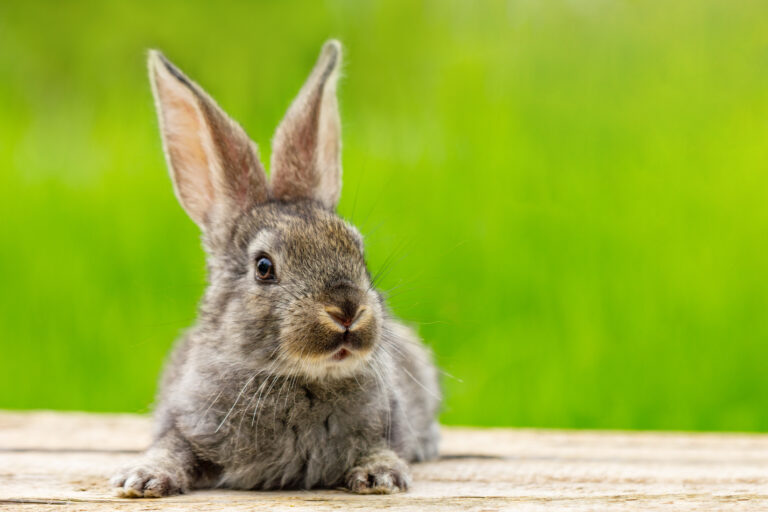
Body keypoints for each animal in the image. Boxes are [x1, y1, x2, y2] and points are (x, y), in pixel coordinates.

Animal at [110, 42, 440, 498]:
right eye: (264, 267)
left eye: (358, 250)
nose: (346, 310)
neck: (299, 378)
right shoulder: (186, 422)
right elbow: (172, 447)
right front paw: (142, 479)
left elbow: (380, 448)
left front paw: (381, 476)